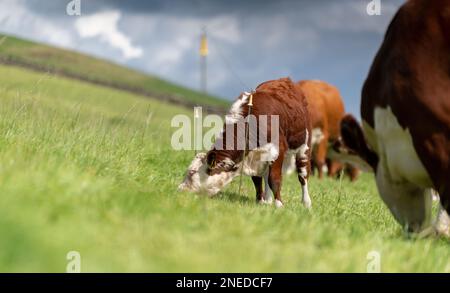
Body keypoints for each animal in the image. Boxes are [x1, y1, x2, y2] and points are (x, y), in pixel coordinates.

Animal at [179, 77, 312, 209]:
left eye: (191, 173)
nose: (180, 189)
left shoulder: (277, 149)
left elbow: (274, 179)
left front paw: (279, 205)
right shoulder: (253, 158)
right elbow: (257, 180)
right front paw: (260, 202)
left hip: (304, 146)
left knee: (303, 175)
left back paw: (306, 203)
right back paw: (268, 200)